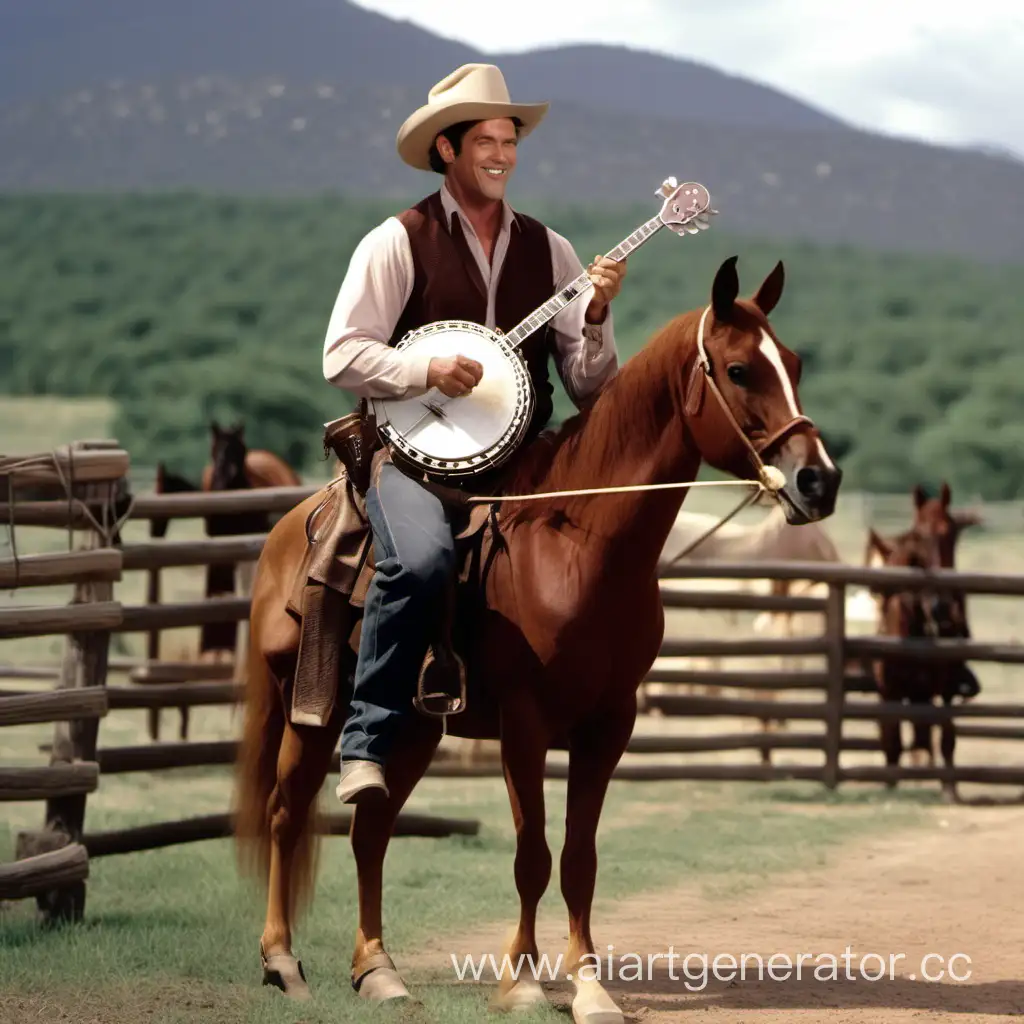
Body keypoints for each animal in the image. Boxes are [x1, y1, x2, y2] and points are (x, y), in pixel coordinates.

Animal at [235, 258, 843, 1024]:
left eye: (792, 363)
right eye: (738, 370)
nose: (818, 479)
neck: (579, 546)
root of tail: (291, 530)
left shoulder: (609, 724)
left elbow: (579, 858)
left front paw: (588, 984)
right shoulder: (525, 726)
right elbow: (533, 853)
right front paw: (522, 981)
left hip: (411, 729)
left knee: (370, 830)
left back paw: (378, 970)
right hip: (308, 712)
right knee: (286, 817)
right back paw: (282, 962)